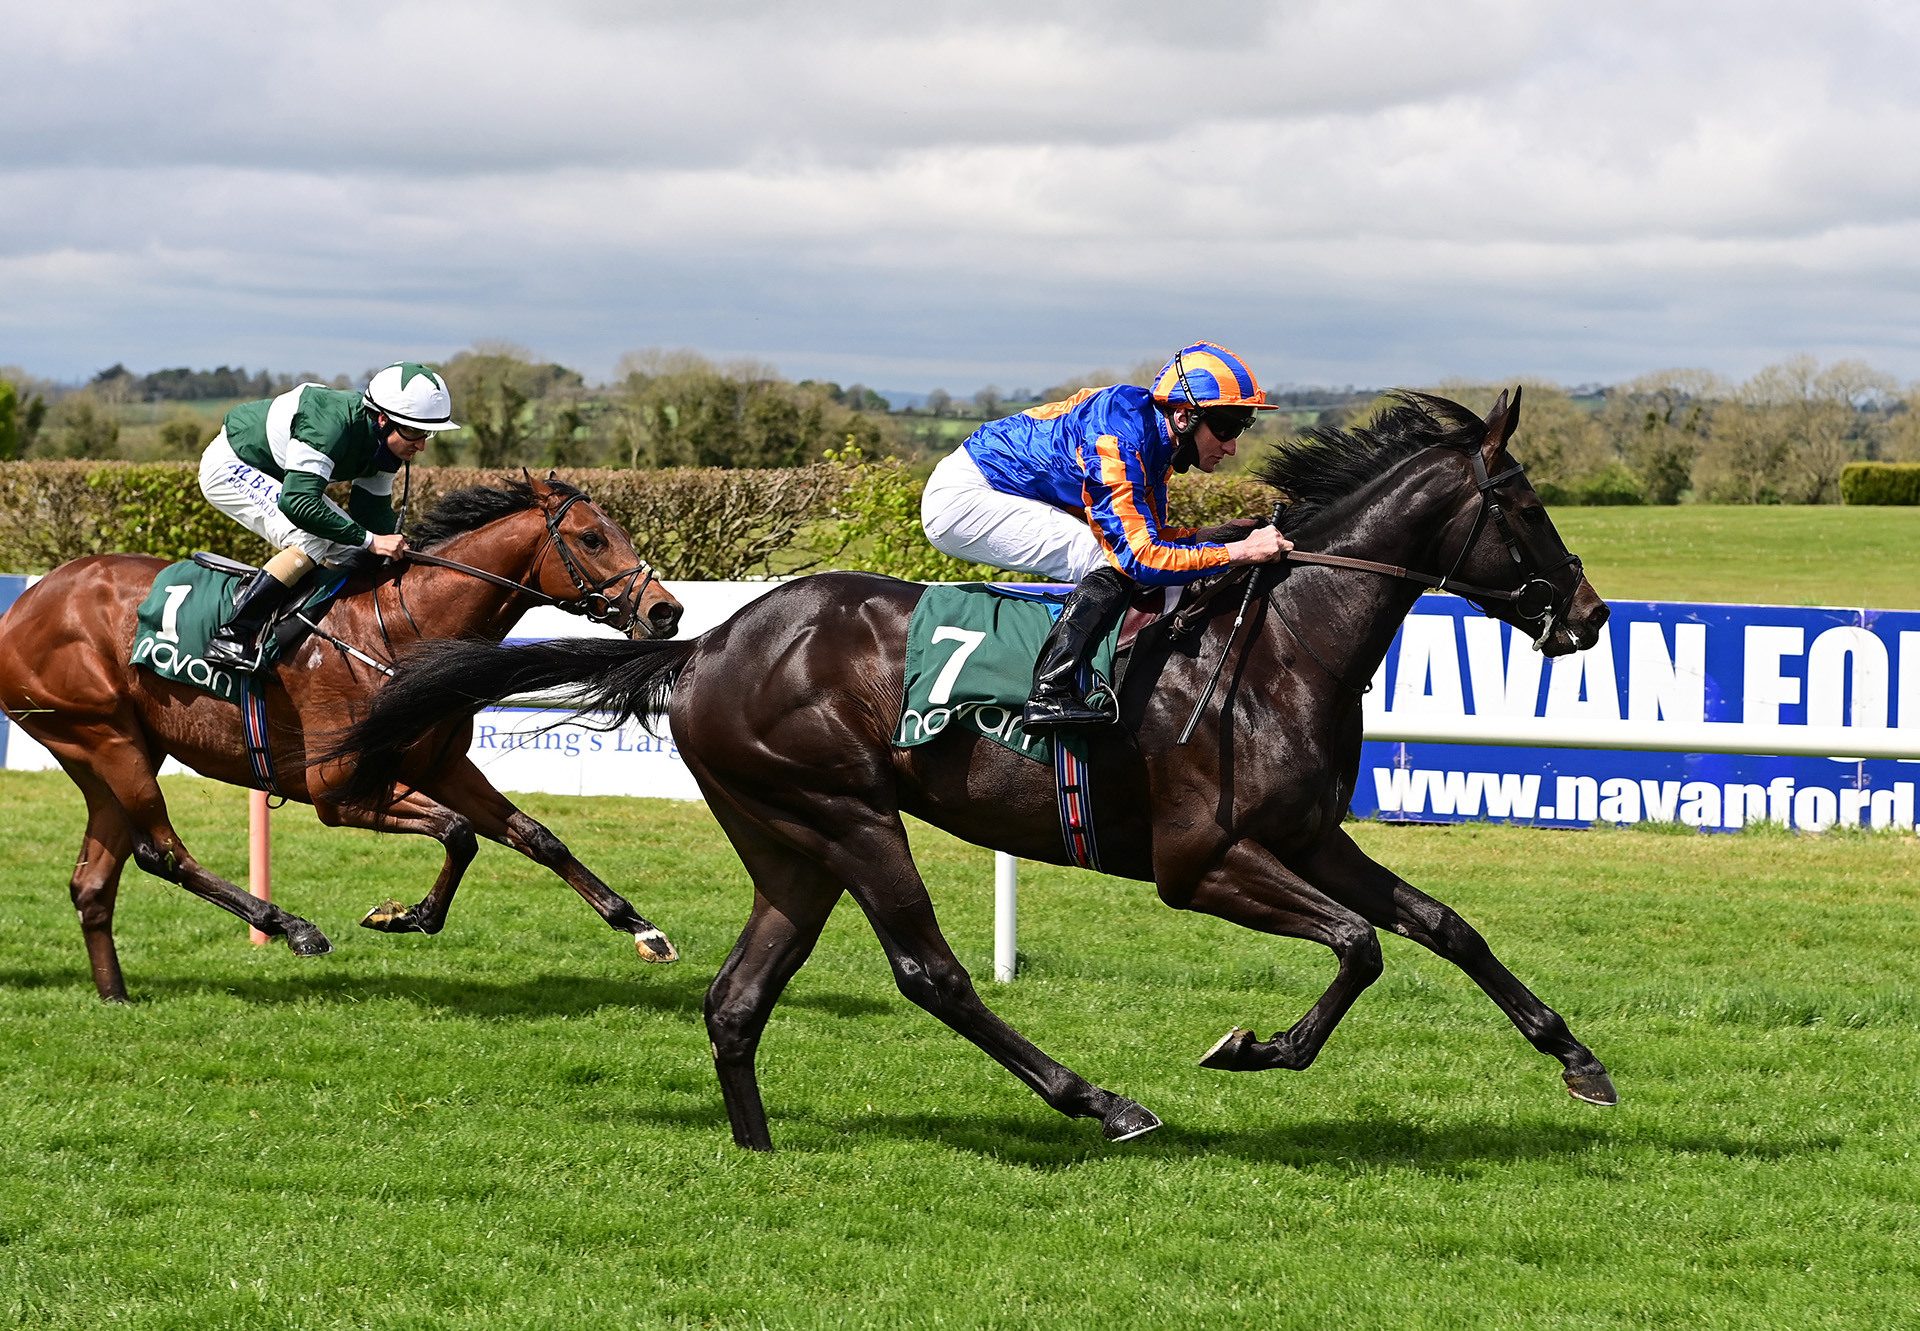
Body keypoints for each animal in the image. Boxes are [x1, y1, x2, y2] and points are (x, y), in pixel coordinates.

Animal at [0, 470, 687, 998]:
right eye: (592, 538)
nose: (667, 611)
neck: (403, 632)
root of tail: (24, 606)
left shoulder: (441, 767)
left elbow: (534, 836)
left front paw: (640, 927)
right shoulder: (336, 793)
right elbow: (460, 832)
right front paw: (409, 915)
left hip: (111, 750)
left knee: (94, 882)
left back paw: (115, 995)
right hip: (105, 735)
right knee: (162, 852)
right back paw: (288, 926)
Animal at [334, 389, 1620, 1144]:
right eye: (1519, 499)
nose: (1592, 614)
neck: (1277, 646)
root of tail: (705, 640)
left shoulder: (1308, 834)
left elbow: (1444, 925)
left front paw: (1581, 1060)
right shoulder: (1200, 862)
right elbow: (1360, 945)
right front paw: (1256, 1046)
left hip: (788, 841)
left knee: (738, 996)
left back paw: (758, 1147)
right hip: (848, 813)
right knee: (931, 973)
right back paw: (1103, 1101)